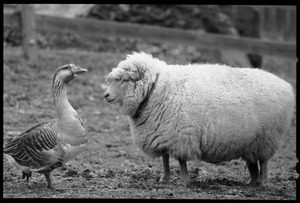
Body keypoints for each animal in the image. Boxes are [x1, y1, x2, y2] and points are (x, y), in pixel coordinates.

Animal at [103, 52, 296, 187]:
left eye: (124, 80)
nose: (105, 95)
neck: (157, 89)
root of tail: (286, 86)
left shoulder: (179, 135)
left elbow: (181, 161)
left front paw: (183, 181)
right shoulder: (162, 134)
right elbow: (165, 159)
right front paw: (164, 179)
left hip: (267, 137)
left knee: (264, 162)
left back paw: (263, 183)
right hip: (250, 141)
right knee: (252, 162)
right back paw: (252, 182)